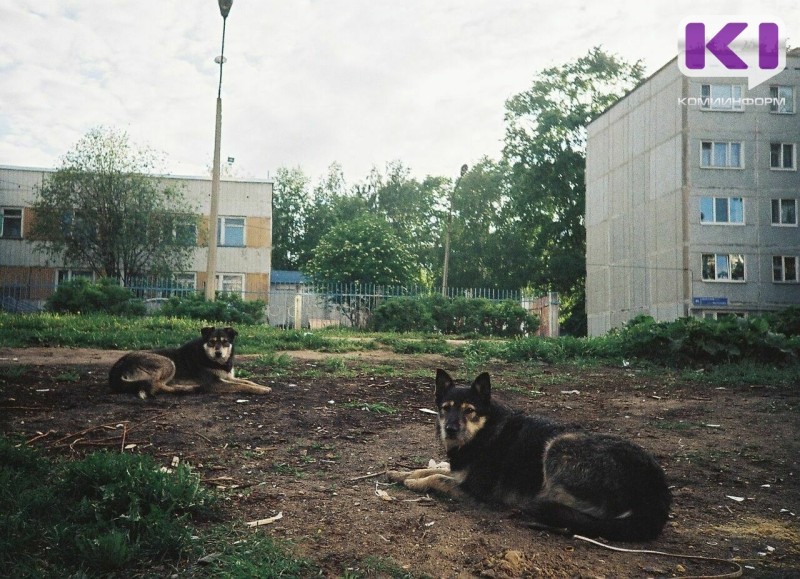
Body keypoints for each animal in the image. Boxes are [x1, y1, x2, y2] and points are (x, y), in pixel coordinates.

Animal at [108, 326, 271, 399]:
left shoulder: (228, 377)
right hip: (167, 362)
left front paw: (263, 386)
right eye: (212, 342)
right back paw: (187, 388)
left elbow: (247, 381)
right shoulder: (214, 383)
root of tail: (117, 367)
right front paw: (261, 390)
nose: (218, 353)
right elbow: (242, 385)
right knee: (155, 386)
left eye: (225, 342)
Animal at [387, 369, 671, 542]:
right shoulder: (460, 472)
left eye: (469, 410)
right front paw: (399, 473)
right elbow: (432, 469)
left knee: (577, 516)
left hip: (560, 445)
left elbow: (437, 478)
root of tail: (658, 493)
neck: (484, 431)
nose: (450, 429)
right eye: (446, 408)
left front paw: (413, 483)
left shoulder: (474, 488)